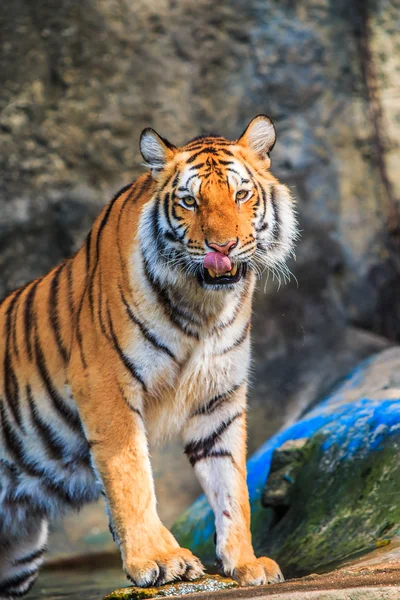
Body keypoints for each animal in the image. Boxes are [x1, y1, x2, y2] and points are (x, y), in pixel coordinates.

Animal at [0, 116, 296, 596]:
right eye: (190, 201)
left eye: (240, 195)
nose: (223, 247)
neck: (203, 305)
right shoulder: (104, 386)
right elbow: (130, 477)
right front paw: (158, 560)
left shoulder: (220, 399)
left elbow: (232, 486)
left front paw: (245, 563)